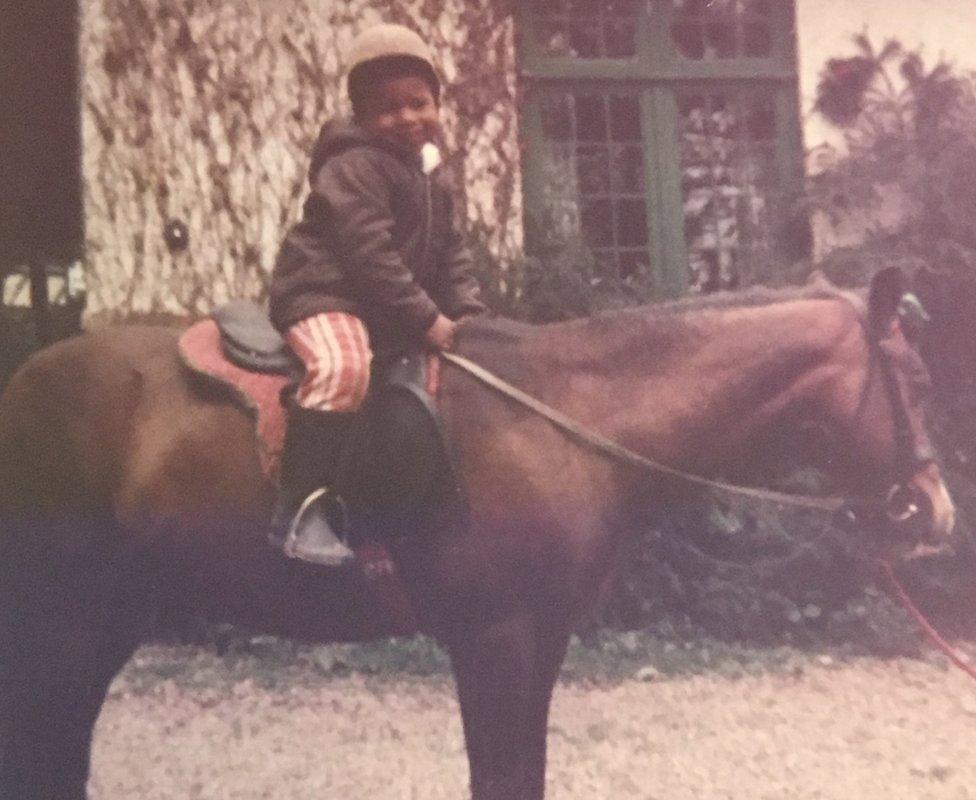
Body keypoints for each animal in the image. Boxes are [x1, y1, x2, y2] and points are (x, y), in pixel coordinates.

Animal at [0, 266, 956, 796]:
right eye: (910, 377)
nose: (936, 512)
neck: (568, 419)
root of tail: (23, 383)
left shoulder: (542, 638)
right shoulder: (492, 637)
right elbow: (496, 775)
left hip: (110, 618)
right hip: (65, 617)